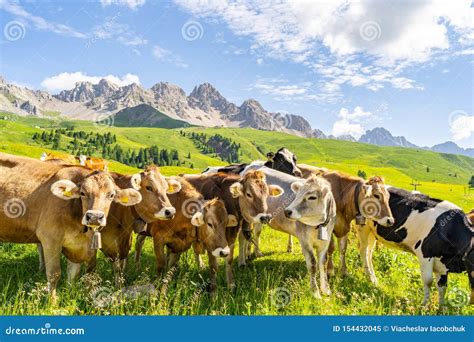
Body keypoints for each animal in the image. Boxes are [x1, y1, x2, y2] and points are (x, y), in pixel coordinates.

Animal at [0, 152, 141, 302]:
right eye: (83, 193)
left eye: (111, 195)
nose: (94, 217)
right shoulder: (50, 238)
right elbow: (54, 274)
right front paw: (52, 302)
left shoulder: (78, 247)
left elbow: (74, 274)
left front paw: (70, 295)